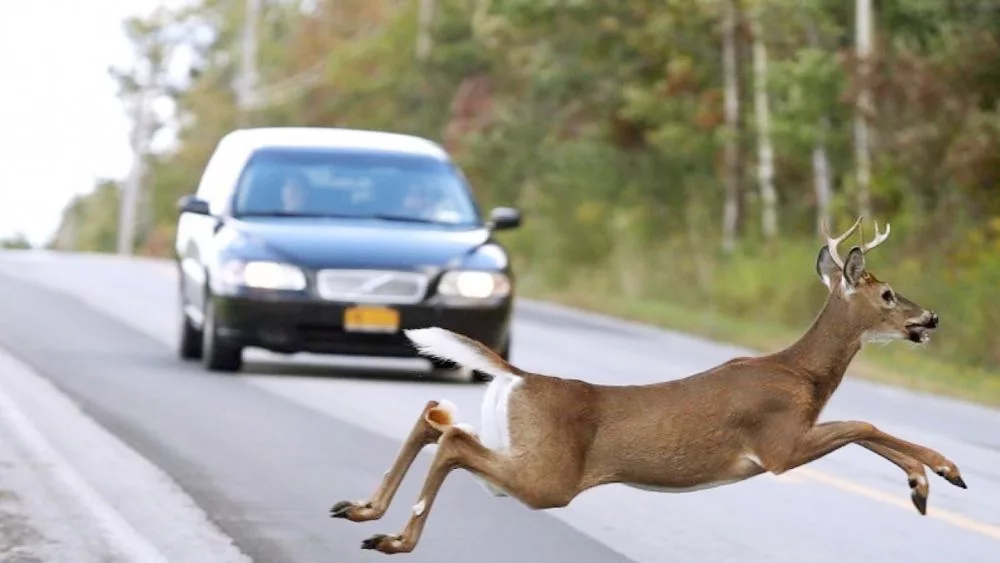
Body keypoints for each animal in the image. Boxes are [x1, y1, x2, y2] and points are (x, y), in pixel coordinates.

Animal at [328, 217, 967, 554]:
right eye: (887, 294)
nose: (932, 318)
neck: (802, 375)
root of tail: (520, 376)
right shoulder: (778, 445)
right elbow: (863, 422)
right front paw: (936, 473)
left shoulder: (790, 440)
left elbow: (864, 427)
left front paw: (928, 479)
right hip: (549, 477)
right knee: (453, 440)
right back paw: (395, 539)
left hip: (522, 451)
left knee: (436, 417)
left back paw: (361, 511)